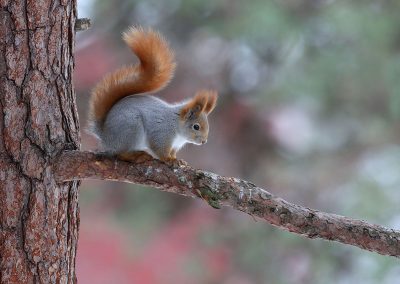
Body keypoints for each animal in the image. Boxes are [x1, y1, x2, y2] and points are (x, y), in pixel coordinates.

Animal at [87, 27, 217, 164]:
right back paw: (137, 156)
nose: (204, 141)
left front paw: (177, 159)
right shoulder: (161, 133)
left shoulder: (174, 145)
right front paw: (168, 159)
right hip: (131, 129)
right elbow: (159, 149)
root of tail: (105, 137)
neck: (176, 126)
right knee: (121, 153)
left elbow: (173, 152)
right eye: (196, 126)